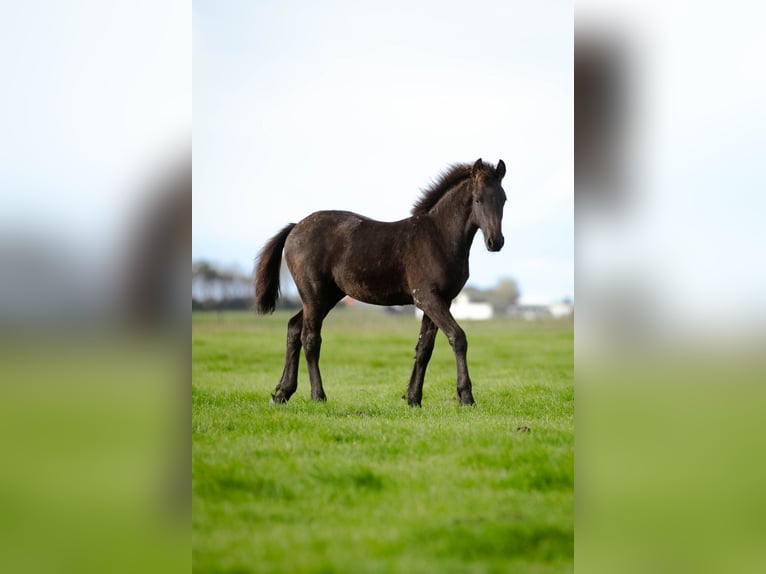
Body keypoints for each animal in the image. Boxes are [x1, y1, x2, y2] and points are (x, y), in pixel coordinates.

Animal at [254, 158, 507, 406]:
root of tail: (295, 227)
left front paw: (413, 398)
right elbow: (458, 337)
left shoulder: (440, 300)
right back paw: (318, 396)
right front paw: (466, 397)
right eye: (478, 199)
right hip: (314, 295)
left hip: (327, 296)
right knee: (310, 338)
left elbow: (424, 347)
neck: (438, 237)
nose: (496, 242)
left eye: (503, 199)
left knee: (294, 328)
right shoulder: (427, 298)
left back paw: (282, 393)